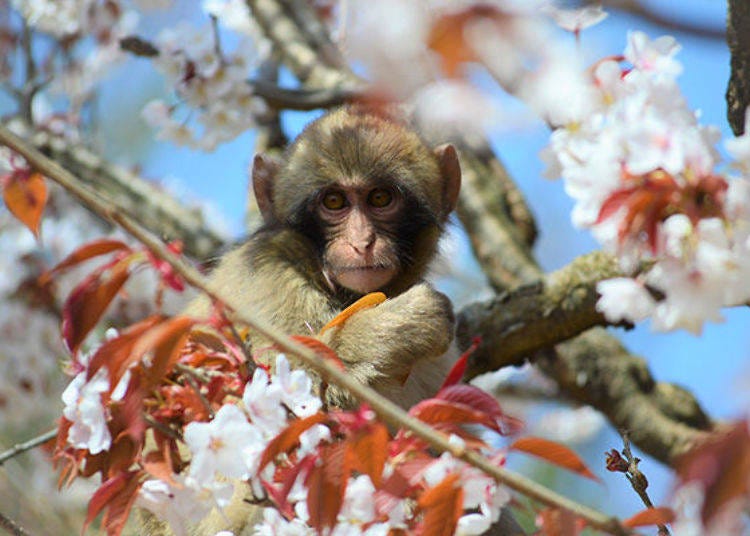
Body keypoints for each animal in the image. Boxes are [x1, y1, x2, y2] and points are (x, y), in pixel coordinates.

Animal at [135, 107, 524, 532]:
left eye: (380, 198)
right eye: (334, 202)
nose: (362, 242)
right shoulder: (265, 281)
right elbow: (273, 398)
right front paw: (404, 323)